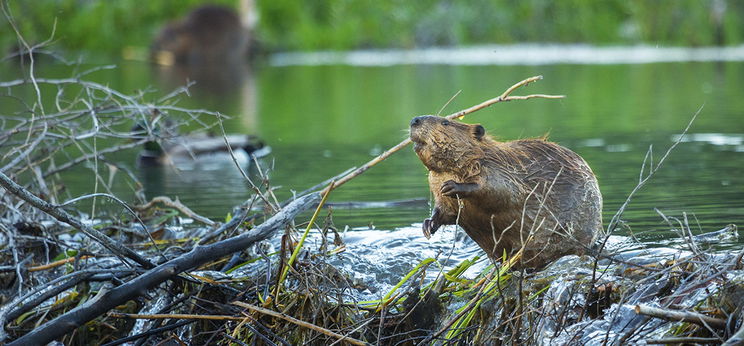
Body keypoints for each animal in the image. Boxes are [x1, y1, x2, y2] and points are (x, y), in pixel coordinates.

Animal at [410, 115, 600, 268]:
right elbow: (445, 211)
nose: (414, 120)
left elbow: (502, 191)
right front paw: (428, 225)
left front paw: (452, 186)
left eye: (445, 122)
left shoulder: (498, 168)